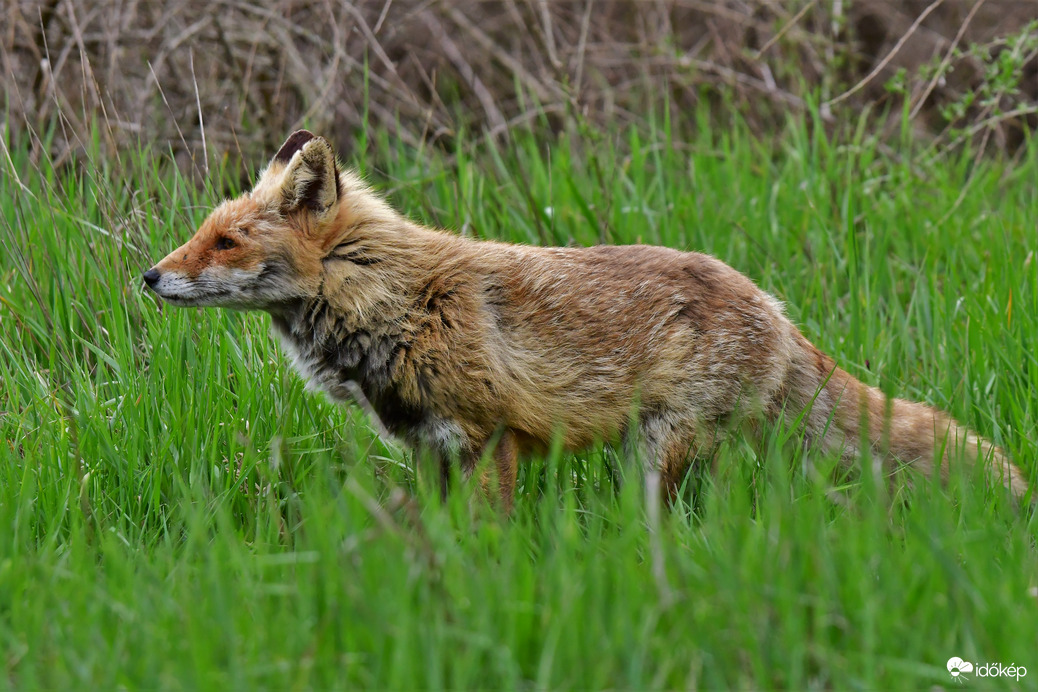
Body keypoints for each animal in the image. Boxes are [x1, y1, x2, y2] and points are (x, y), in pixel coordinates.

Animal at [144, 129, 1029, 508]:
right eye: (203, 231)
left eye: (225, 241)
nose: (148, 276)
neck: (388, 300)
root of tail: (773, 307)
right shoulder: (430, 449)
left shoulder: (487, 437)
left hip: (656, 450)